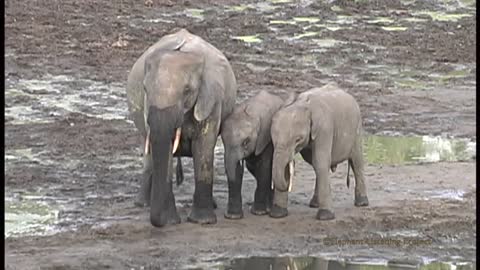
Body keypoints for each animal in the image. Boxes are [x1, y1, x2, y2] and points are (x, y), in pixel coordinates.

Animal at [126, 28, 237, 227]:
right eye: (145, 89)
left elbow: (204, 147)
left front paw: (202, 222)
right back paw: (142, 204)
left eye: (187, 91)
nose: (159, 222)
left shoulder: (211, 100)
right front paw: (171, 222)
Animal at [221, 90, 292, 219]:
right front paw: (233, 217)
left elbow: (264, 168)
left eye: (246, 142)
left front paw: (259, 212)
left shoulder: (266, 137)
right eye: (222, 140)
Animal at [268, 83, 370, 221]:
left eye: (298, 139)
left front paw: (325, 217)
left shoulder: (324, 129)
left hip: (357, 130)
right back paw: (314, 204)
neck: (303, 105)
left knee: (356, 163)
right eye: (273, 138)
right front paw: (278, 214)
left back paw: (362, 203)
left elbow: (320, 161)